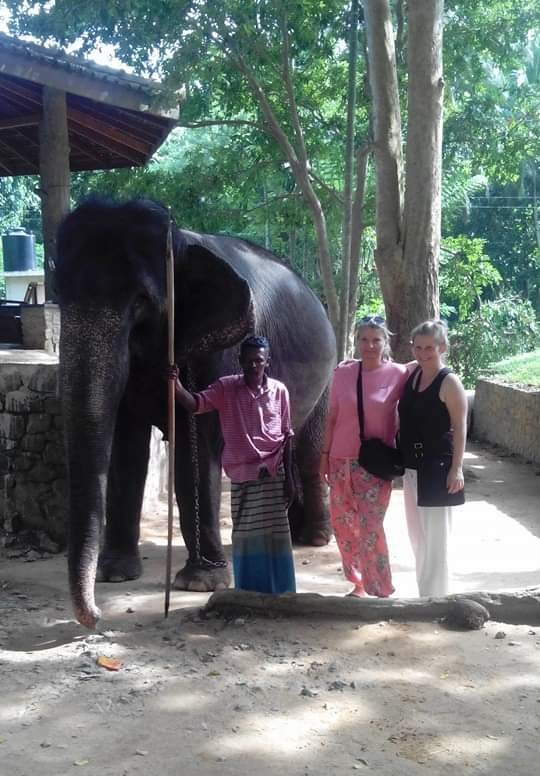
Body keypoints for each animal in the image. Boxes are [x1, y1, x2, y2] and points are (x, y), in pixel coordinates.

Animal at [56, 197, 336, 628]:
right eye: (57, 296)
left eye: (141, 301)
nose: (97, 616)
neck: (179, 240)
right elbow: (126, 448)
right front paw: (115, 574)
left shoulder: (216, 353)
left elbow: (199, 448)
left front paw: (201, 582)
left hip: (329, 374)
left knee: (308, 450)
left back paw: (315, 538)